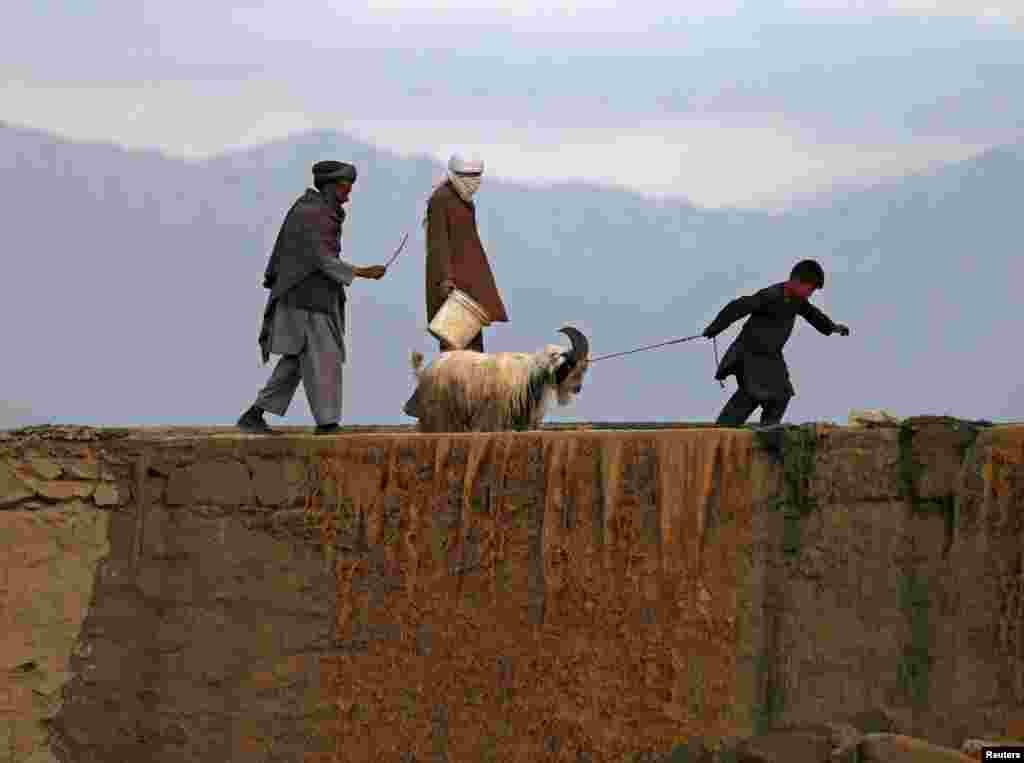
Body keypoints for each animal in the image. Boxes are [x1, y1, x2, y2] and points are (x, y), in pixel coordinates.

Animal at [401, 323, 593, 432]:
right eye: (571, 365)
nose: (577, 388)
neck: (531, 373)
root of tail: (424, 372)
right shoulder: (493, 418)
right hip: (440, 415)